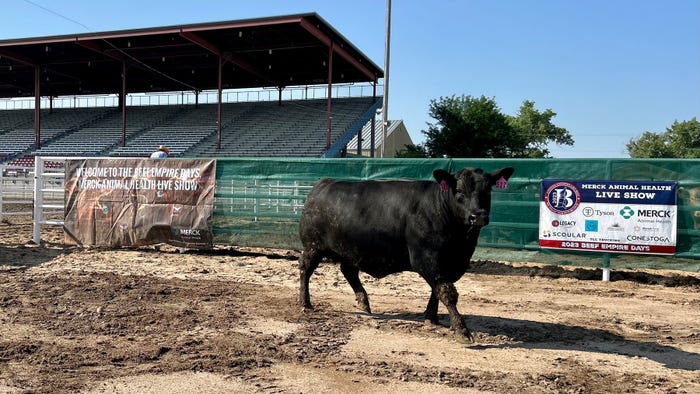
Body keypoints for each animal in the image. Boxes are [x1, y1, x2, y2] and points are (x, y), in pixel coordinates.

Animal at [296, 166, 516, 338]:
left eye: (487, 191)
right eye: (459, 191)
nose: (477, 216)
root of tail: (323, 183)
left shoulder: (448, 264)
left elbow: (437, 290)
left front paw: (431, 318)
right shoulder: (427, 259)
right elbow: (447, 292)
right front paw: (461, 330)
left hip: (350, 250)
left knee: (348, 271)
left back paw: (364, 302)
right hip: (313, 247)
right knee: (305, 270)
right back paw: (305, 303)